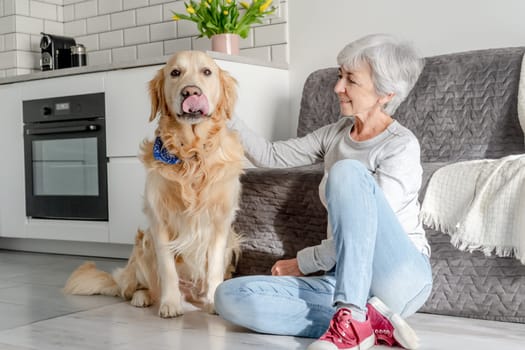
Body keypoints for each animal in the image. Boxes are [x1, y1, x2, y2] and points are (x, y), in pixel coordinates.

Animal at [63, 50, 244, 318]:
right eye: (175, 72)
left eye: (207, 72)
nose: (191, 92)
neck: (192, 155)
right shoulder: (159, 221)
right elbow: (167, 269)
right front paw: (170, 304)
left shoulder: (220, 223)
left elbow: (213, 269)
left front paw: (214, 301)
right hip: (143, 244)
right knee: (134, 288)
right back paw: (145, 297)